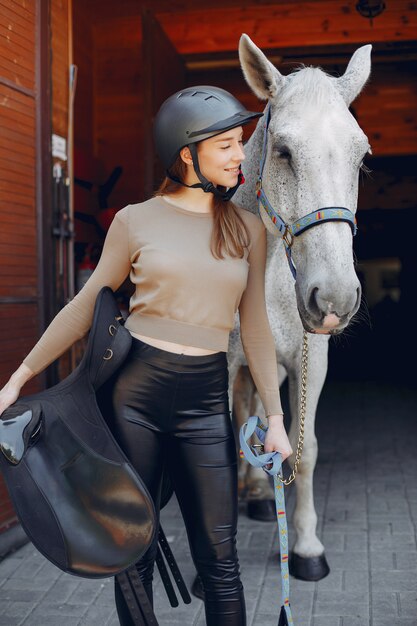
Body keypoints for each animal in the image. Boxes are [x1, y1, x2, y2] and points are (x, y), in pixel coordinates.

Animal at [228, 35, 370, 580]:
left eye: (361, 157)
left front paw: (308, 547)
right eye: (284, 152)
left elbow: (303, 449)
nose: (334, 297)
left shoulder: (312, 362)